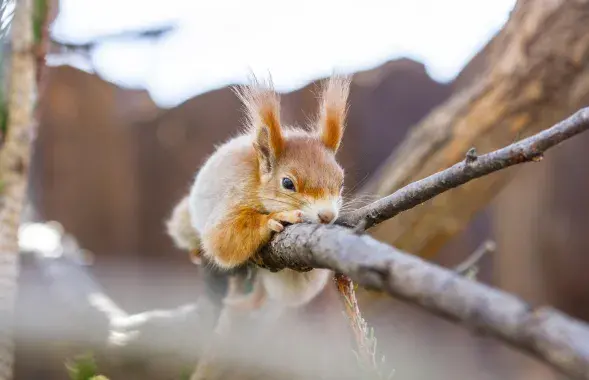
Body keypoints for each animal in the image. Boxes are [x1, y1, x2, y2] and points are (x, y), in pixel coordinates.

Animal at [165, 74, 350, 312]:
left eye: (341, 183)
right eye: (287, 183)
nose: (327, 216)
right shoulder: (236, 192)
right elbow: (221, 238)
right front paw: (274, 219)